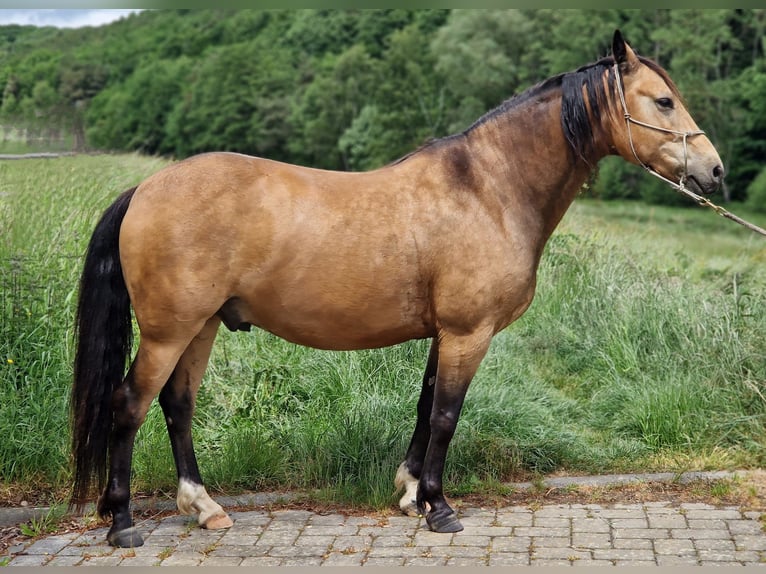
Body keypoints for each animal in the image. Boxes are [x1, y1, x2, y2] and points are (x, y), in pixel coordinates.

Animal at [70, 30, 723, 547]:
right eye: (663, 100)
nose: (714, 171)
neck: (486, 189)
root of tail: (146, 189)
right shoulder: (468, 333)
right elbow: (447, 415)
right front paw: (440, 507)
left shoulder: (445, 334)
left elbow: (425, 407)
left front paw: (410, 493)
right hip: (169, 331)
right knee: (129, 405)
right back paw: (123, 522)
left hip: (200, 326)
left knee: (177, 405)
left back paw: (204, 508)